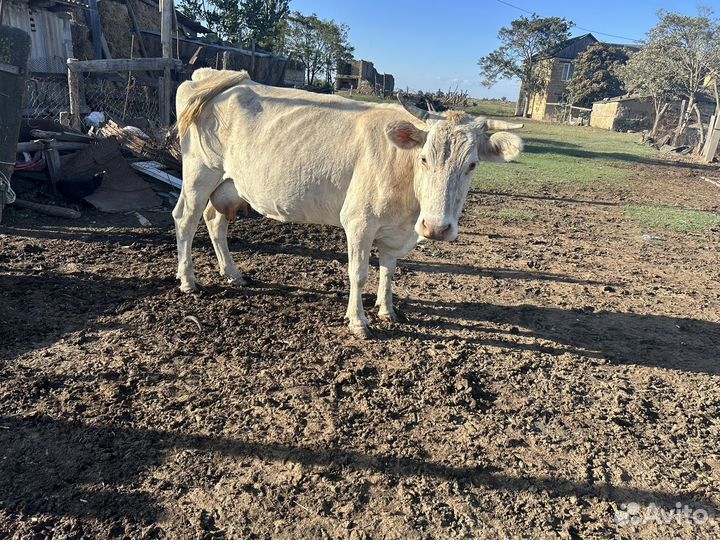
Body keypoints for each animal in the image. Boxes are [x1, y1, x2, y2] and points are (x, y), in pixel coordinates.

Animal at [174, 68, 523, 337]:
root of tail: (214, 77)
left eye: (472, 165)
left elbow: (388, 270)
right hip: (199, 173)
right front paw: (358, 322)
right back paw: (188, 281)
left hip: (228, 184)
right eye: (424, 158)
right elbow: (359, 272)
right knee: (186, 220)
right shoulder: (359, 222)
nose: (436, 227)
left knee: (214, 221)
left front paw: (387, 310)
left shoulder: (397, 232)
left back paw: (233, 273)